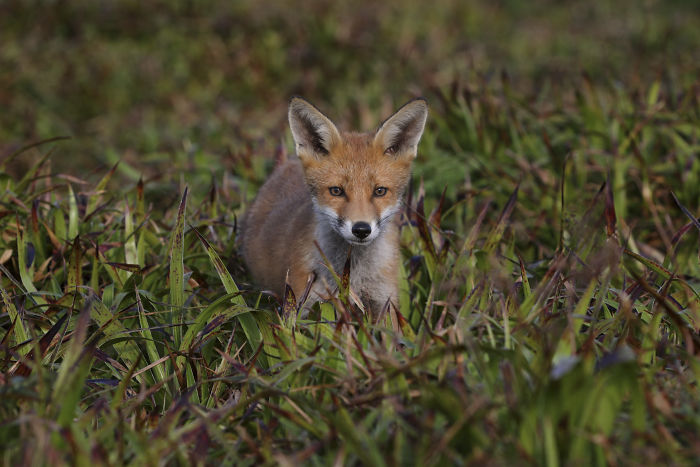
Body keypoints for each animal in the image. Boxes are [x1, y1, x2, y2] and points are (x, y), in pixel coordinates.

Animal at [241, 96, 428, 315]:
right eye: (336, 191)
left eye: (380, 191)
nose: (361, 229)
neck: (352, 274)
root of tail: (285, 164)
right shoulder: (302, 304)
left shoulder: (385, 302)